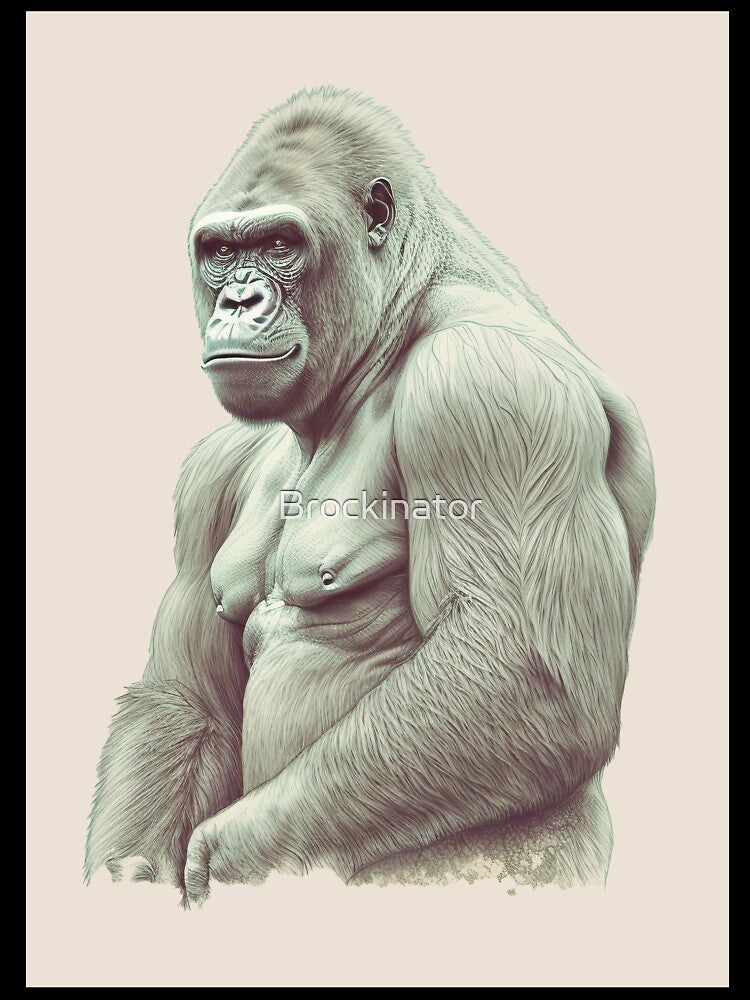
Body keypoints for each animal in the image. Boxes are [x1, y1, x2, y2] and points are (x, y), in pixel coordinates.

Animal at [84, 87, 655, 903]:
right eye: (221, 252)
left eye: (280, 244)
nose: (238, 300)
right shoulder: (211, 471)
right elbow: (183, 698)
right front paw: (128, 882)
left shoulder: (484, 381)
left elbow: (521, 671)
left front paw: (228, 859)